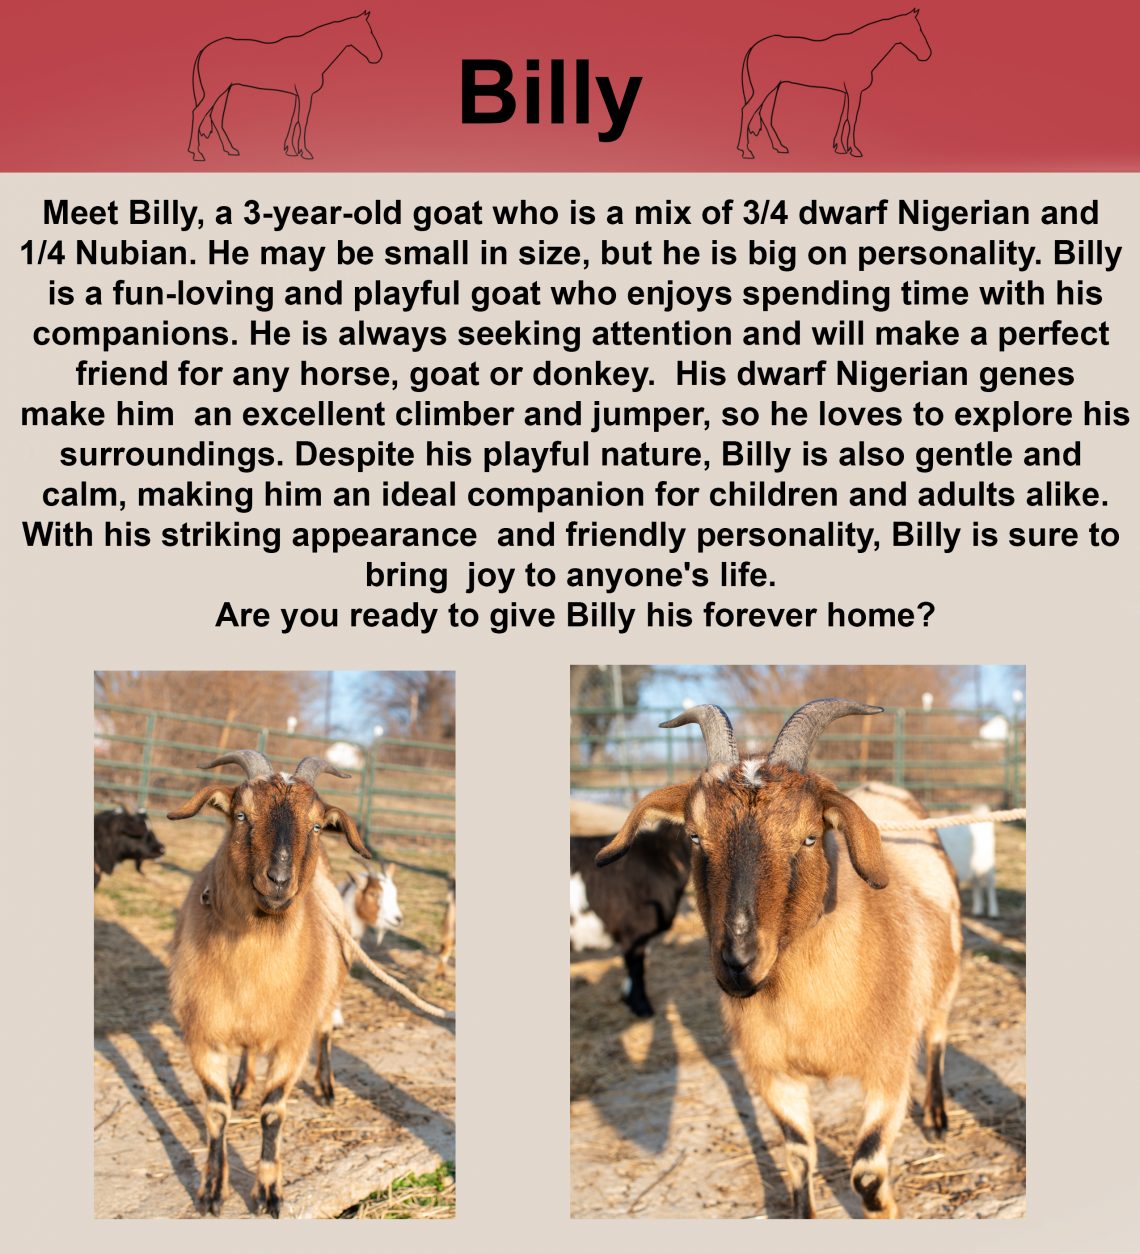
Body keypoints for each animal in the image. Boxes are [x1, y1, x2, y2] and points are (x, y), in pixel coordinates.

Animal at [189, 12, 382, 162]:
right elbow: (303, 120)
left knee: (216, 117)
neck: (311, 53)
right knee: (199, 113)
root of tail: (204, 50)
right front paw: (305, 152)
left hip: (225, 90)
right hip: (215, 91)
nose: (377, 57)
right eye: (366, 32)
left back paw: (230, 149)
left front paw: (291, 150)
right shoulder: (305, 94)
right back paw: (197, 153)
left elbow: (294, 119)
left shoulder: (299, 95)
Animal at [737, 8, 931, 160]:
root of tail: (753, 47)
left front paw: (840, 147)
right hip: (764, 88)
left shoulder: (848, 92)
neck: (861, 50)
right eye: (915, 29)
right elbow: (852, 118)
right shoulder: (854, 92)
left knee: (765, 115)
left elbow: (843, 117)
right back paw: (746, 151)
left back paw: (779, 147)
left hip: (774, 87)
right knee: (748, 110)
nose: (927, 55)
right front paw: (855, 150)